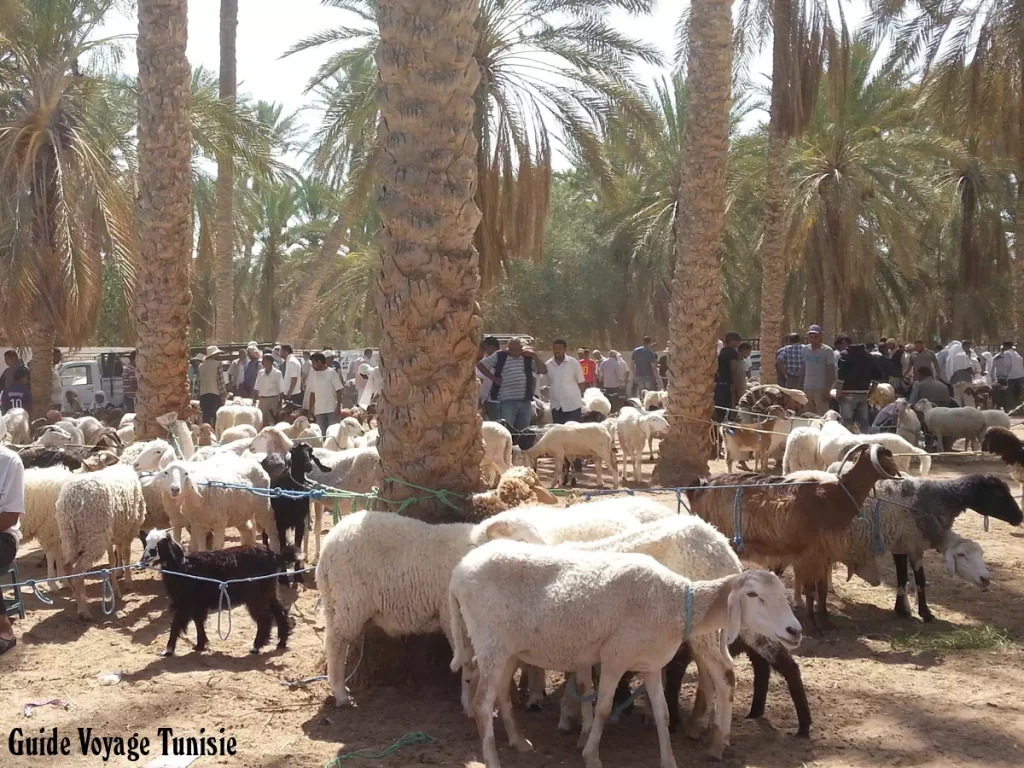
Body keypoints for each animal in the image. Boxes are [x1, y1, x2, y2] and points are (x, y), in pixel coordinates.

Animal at [57, 462, 147, 618]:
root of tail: (71, 500)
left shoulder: (113, 534)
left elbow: (113, 558)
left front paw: (116, 588)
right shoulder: (128, 531)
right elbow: (126, 555)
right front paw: (128, 582)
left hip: (70, 537)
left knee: (67, 566)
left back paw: (75, 597)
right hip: (94, 535)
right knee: (78, 571)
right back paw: (83, 610)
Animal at [139, 532, 296, 659]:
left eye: (159, 546)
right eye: (145, 544)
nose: (143, 560)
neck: (183, 568)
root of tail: (275, 556)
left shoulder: (186, 602)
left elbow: (176, 624)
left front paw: (168, 651)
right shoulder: (197, 603)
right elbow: (198, 622)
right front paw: (200, 645)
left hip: (256, 596)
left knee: (264, 619)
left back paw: (256, 647)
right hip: (269, 590)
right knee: (280, 612)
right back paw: (281, 642)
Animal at [450, 544, 798, 765]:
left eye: (783, 593)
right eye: (753, 594)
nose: (795, 630)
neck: (674, 601)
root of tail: (459, 571)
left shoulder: (651, 664)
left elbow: (663, 713)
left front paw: (669, 760)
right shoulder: (615, 656)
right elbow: (603, 709)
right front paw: (591, 755)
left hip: (507, 649)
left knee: (500, 696)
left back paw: (519, 743)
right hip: (491, 642)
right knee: (482, 704)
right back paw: (492, 759)